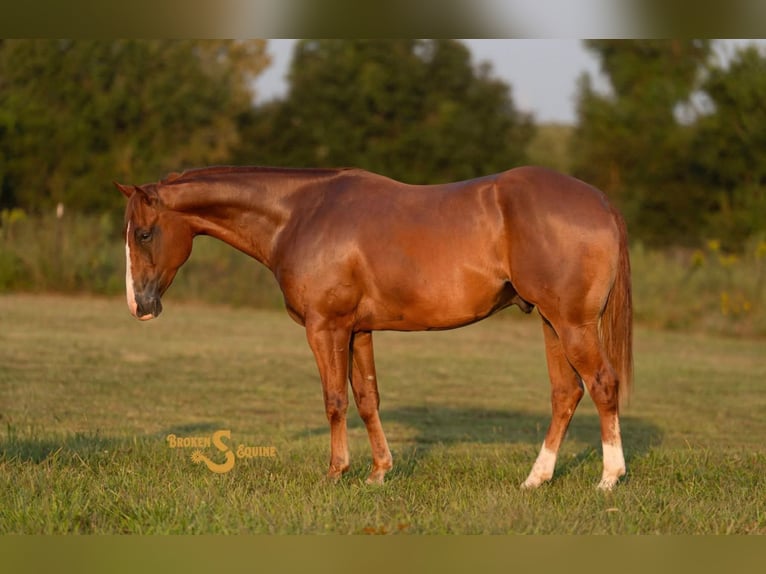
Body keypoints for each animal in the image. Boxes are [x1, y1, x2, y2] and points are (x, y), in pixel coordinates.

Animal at [116, 164, 633, 490]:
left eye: (143, 233)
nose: (140, 306)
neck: (301, 214)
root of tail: (601, 202)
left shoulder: (325, 328)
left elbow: (334, 401)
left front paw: (336, 473)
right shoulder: (357, 331)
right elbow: (366, 399)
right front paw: (379, 472)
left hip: (572, 324)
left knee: (602, 384)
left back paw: (608, 480)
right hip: (551, 322)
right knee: (566, 393)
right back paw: (535, 479)